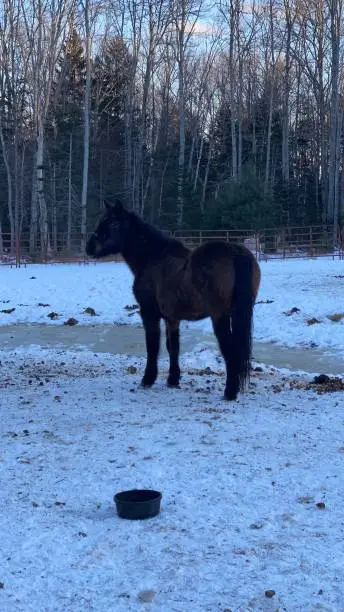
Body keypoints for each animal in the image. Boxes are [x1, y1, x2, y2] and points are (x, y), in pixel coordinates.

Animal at [86, 201, 260, 402]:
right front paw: (173, 380)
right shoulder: (172, 318)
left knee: (230, 350)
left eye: (114, 224)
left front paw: (147, 379)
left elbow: (153, 346)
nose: (89, 247)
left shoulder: (149, 313)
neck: (152, 258)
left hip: (220, 316)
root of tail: (236, 252)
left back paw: (230, 393)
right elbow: (173, 347)